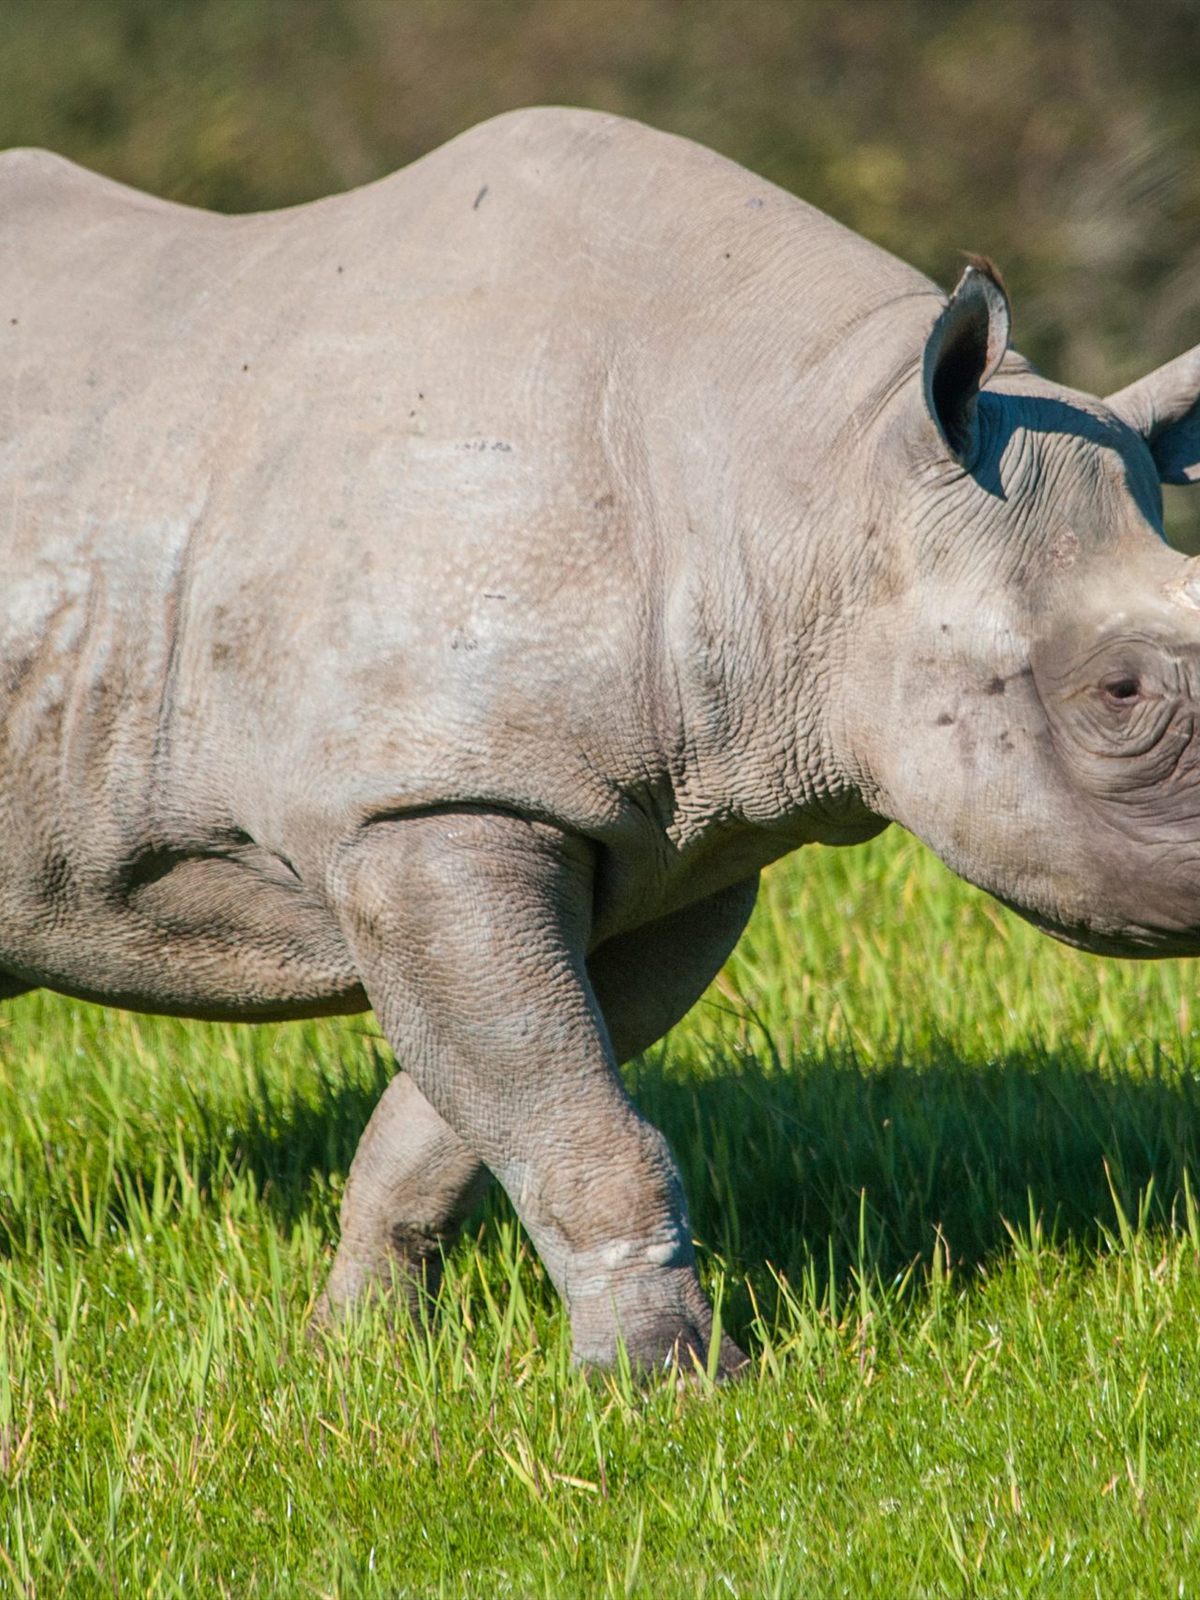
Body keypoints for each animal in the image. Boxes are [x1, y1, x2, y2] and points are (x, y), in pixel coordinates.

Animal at [2, 107, 1198, 1375]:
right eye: (1120, 692)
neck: (813, 480)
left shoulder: (685, 842)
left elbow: (468, 1116)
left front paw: (357, 1353)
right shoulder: (435, 805)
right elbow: (572, 1116)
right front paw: (672, 1384)